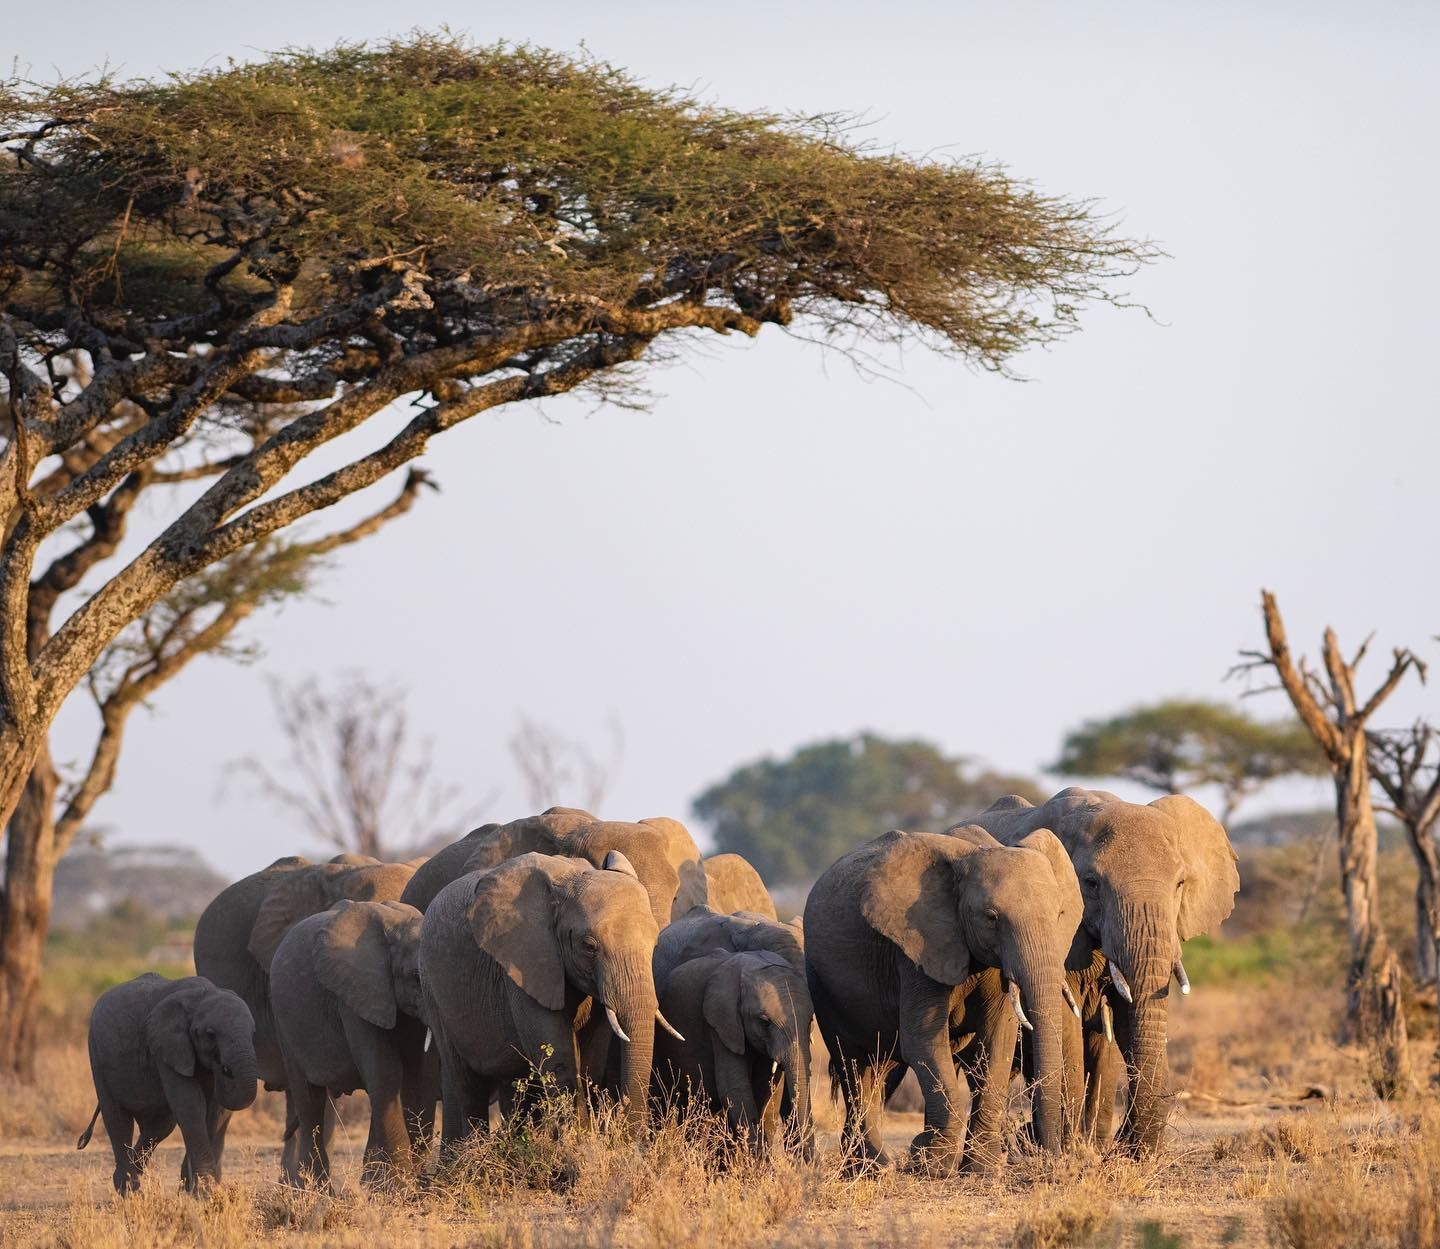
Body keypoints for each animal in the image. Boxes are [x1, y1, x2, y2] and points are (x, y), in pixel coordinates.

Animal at [77, 974, 257, 1194]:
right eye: (211, 1033)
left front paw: (194, 1188)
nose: (224, 1067)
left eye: (253, 1032)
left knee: (159, 1127)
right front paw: (205, 1191)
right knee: (118, 1119)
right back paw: (129, 1191)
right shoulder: (167, 1048)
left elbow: (215, 1110)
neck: (203, 994)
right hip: (98, 1058)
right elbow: (191, 1106)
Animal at [269, 900, 433, 1189]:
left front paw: (406, 1184)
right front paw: (399, 1186)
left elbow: (415, 1073)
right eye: (415, 976)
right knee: (309, 1102)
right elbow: (386, 1072)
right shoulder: (356, 994)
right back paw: (316, 1190)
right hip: (284, 1023)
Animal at [420, 850, 680, 1151]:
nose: (634, 1144)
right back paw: (472, 1155)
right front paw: (580, 1146)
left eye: (655, 944)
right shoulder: (523, 960)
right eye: (589, 946)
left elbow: (591, 1058)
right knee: (468, 1086)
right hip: (433, 991)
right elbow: (558, 1053)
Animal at [804, 826, 1081, 1175]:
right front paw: (932, 1163)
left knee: (881, 1069)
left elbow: (997, 1042)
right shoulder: (915, 950)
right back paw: (872, 1167)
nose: (1051, 1158)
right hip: (820, 981)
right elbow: (923, 1040)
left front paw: (980, 1169)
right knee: (852, 1063)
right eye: (991, 917)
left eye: (1060, 914)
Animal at [957, 788, 1238, 1155]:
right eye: (1091, 884)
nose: (1127, 1146)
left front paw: (1109, 1151)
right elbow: (1067, 1020)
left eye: (1180, 884)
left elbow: (1125, 1019)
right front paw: (1072, 1151)